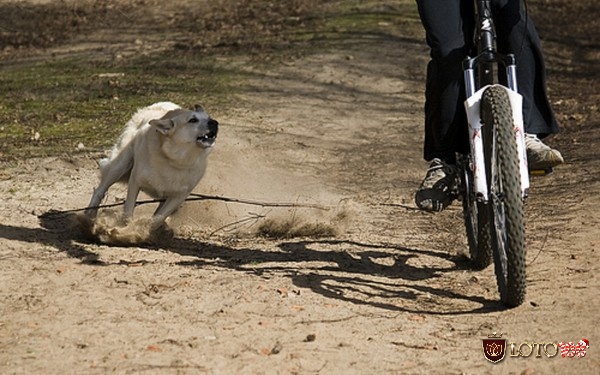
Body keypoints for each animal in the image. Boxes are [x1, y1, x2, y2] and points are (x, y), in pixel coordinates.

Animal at [83, 100, 217, 229]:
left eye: (209, 117)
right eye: (192, 120)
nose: (215, 122)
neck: (175, 160)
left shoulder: (179, 196)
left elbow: (159, 217)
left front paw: (147, 229)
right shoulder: (135, 181)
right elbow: (128, 210)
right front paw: (126, 229)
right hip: (120, 164)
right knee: (100, 190)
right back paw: (89, 215)